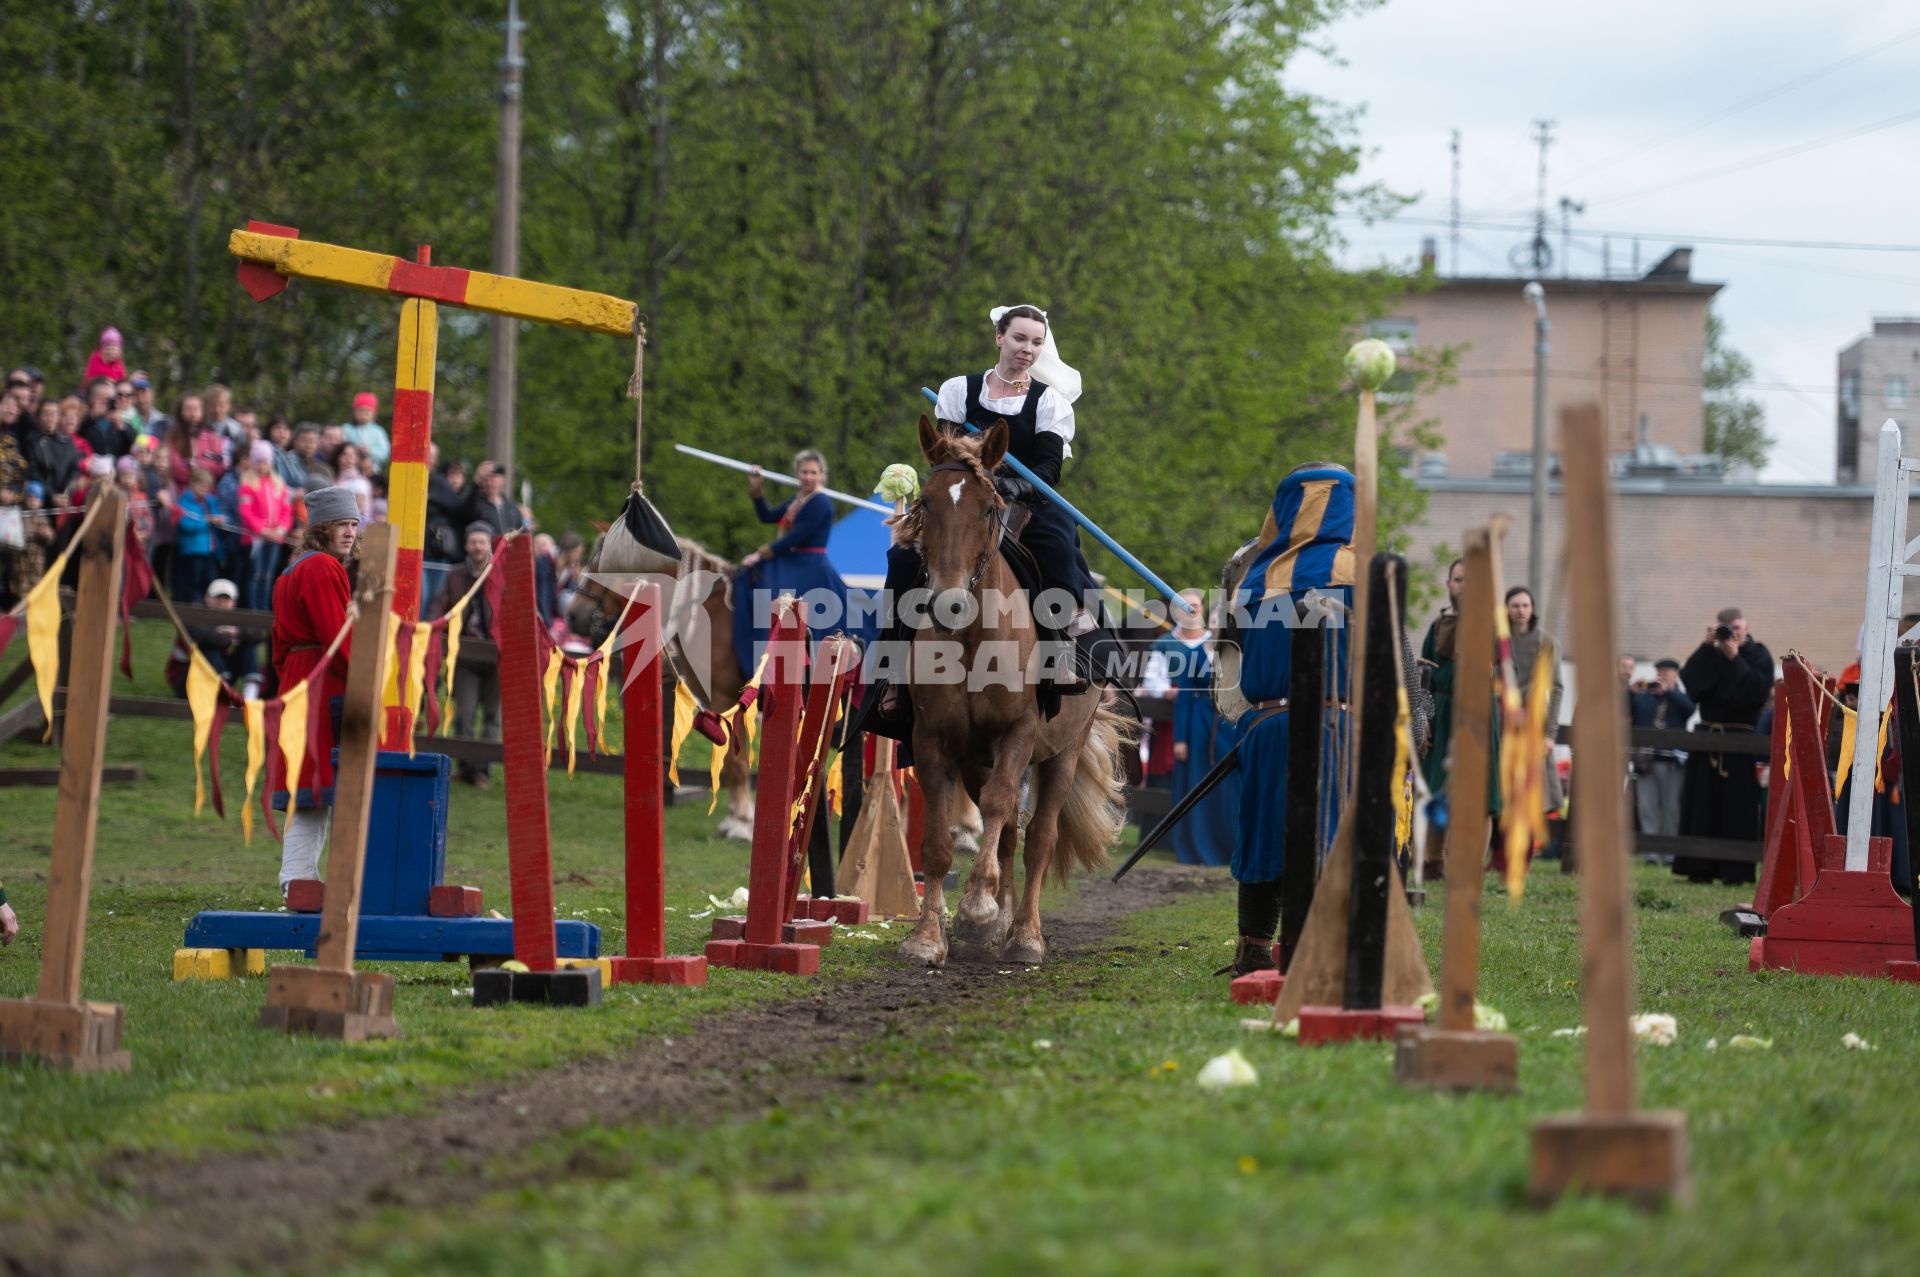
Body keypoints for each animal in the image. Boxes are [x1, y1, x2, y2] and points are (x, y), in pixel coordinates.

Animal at [894, 418, 1128, 967]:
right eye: (926, 503)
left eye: (988, 508)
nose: (949, 604)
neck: (974, 641)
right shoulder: (932, 741)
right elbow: (938, 841)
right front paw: (928, 938)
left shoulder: (1018, 735)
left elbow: (1004, 808)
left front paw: (976, 909)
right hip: (978, 760)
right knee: (1006, 836)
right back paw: (1000, 924)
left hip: (1062, 751)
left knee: (1038, 837)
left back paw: (1023, 935)